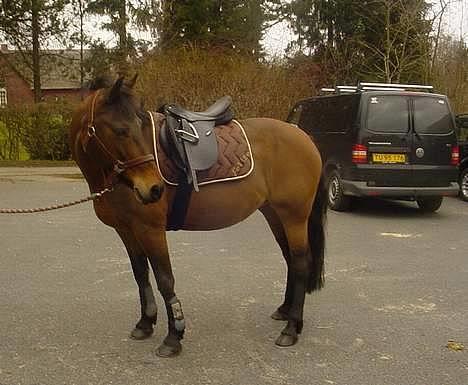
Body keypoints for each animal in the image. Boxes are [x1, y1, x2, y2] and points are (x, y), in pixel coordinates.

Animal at [69, 76, 328, 356]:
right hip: (275, 215)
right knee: (290, 259)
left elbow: (165, 279)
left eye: (140, 126)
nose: (154, 189)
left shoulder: (150, 229)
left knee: (301, 263)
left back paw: (291, 328)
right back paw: (285, 312)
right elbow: (141, 274)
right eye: (120, 130)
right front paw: (145, 323)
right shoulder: (126, 230)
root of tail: (303, 136)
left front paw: (174, 336)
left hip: (294, 217)